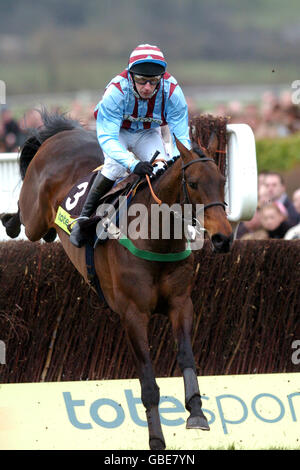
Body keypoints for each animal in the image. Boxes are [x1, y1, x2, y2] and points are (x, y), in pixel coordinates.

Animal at [1, 109, 233, 448]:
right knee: (23, 219)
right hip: (34, 216)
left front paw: (197, 413)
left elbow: (186, 356)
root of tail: (61, 134)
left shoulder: (181, 304)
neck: (155, 238)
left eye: (222, 182)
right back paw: (10, 221)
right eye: (193, 183)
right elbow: (148, 381)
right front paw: (156, 439)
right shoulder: (132, 314)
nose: (223, 238)